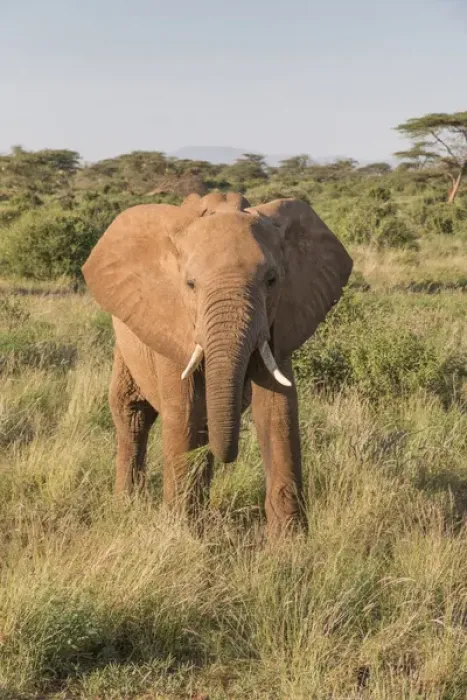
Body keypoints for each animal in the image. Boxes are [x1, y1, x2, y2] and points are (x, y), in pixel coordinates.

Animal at [82, 192, 352, 536]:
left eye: (272, 280)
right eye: (190, 284)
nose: (230, 458)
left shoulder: (281, 320)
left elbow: (277, 411)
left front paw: (290, 543)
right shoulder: (173, 324)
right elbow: (186, 411)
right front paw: (182, 536)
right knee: (133, 412)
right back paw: (128, 507)